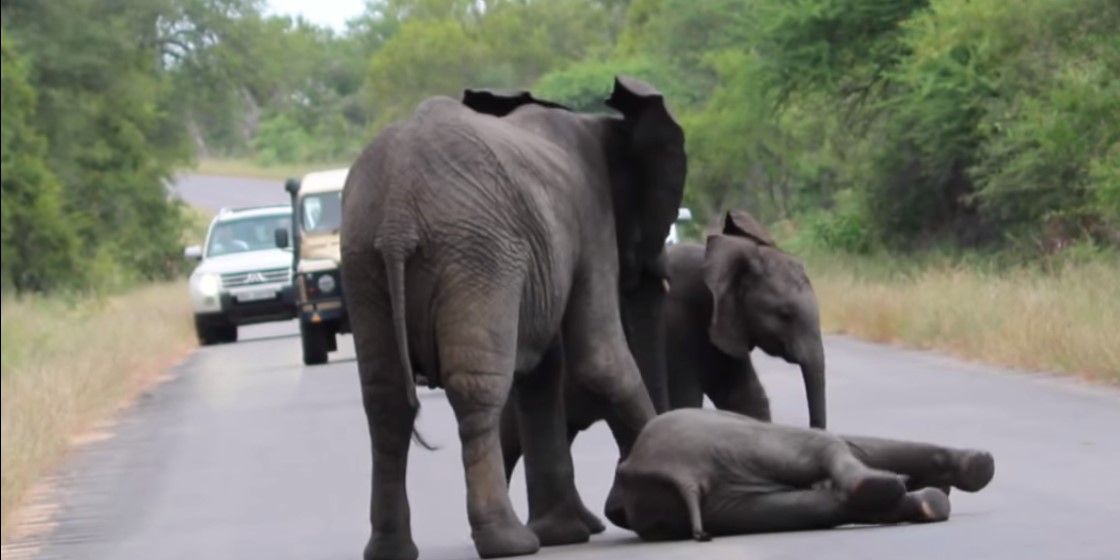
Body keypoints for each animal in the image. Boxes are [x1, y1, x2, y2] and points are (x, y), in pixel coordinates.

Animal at [340, 76, 686, 560]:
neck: (601, 124)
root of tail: (397, 217)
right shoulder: (591, 219)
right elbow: (602, 361)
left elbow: (542, 375)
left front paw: (565, 534)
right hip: (478, 254)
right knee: (477, 389)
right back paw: (510, 542)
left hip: (362, 260)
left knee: (385, 399)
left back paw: (392, 551)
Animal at [610, 408, 996, 541]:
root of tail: (682, 475)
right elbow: (857, 445)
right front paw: (975, 466)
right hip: (728, 442)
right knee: (826, 445)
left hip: (725, 503)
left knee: (825, 505)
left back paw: (926, 502)